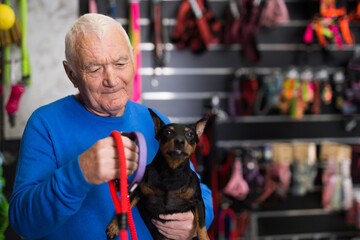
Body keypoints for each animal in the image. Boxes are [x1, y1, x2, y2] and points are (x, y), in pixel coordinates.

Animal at [105, 109, 210, 240]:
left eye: (190, 134)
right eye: (168, 132)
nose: (180, 141)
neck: (171, 171)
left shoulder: (198, 201)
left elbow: (201, 225)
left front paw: (205, 237)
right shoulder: (137, 192)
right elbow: (126, 205)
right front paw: (114, 226)